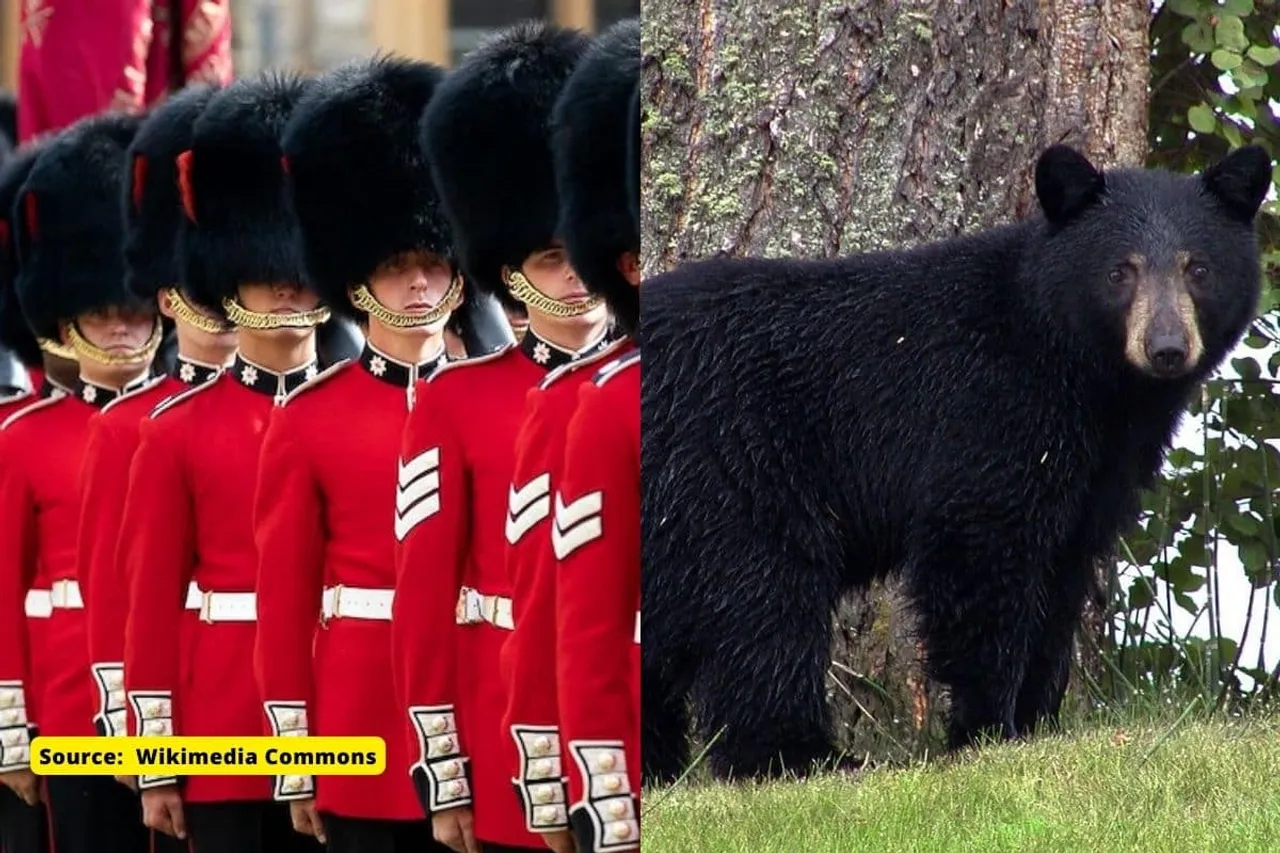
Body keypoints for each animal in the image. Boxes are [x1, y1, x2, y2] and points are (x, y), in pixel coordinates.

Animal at [645, 144, 1274, 778]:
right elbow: (980, 553)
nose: (1166, 348)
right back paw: (803, 755)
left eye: (1199, 269)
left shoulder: (1097, 472)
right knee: (761, 601)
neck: (1080, 373)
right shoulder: (987, 412)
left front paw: (1039, 722)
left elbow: (1060, 582)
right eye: (1121, 270)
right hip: (730, 461)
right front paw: (987, 729)